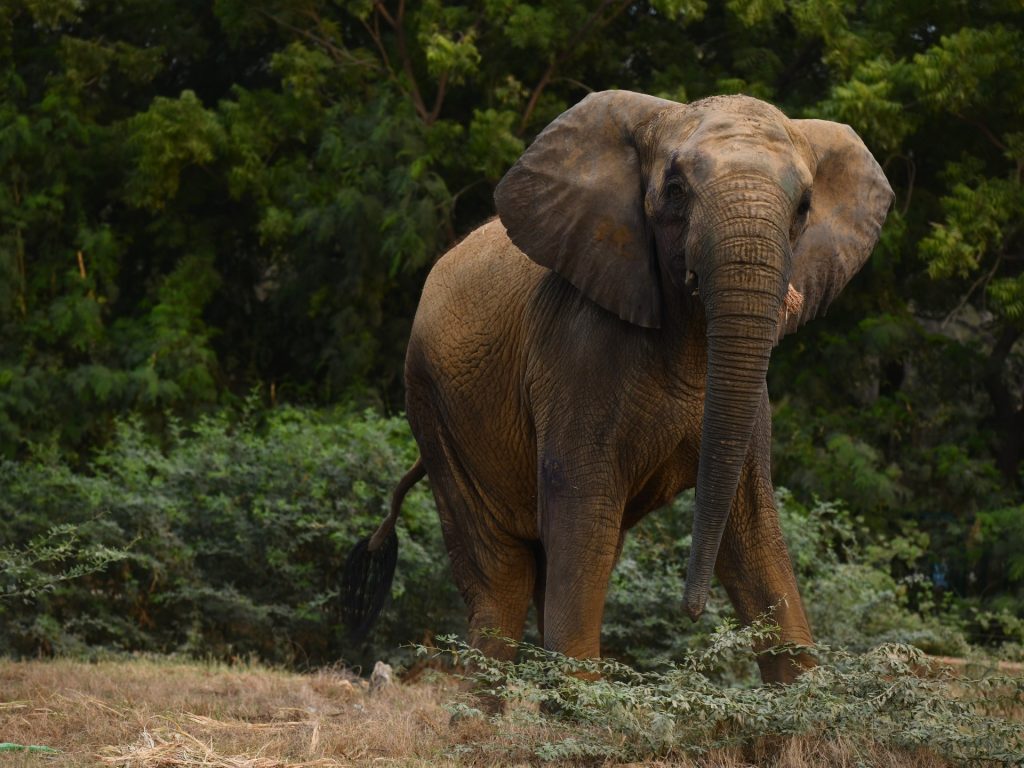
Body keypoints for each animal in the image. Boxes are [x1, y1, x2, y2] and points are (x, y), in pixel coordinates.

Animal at [343, 89, 893, 684]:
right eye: (674, 190)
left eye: (804, 207)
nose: (691, 612)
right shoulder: (576, 351)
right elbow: (583, 509)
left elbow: (752, 532)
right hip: (434, 412)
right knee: (506, 579)